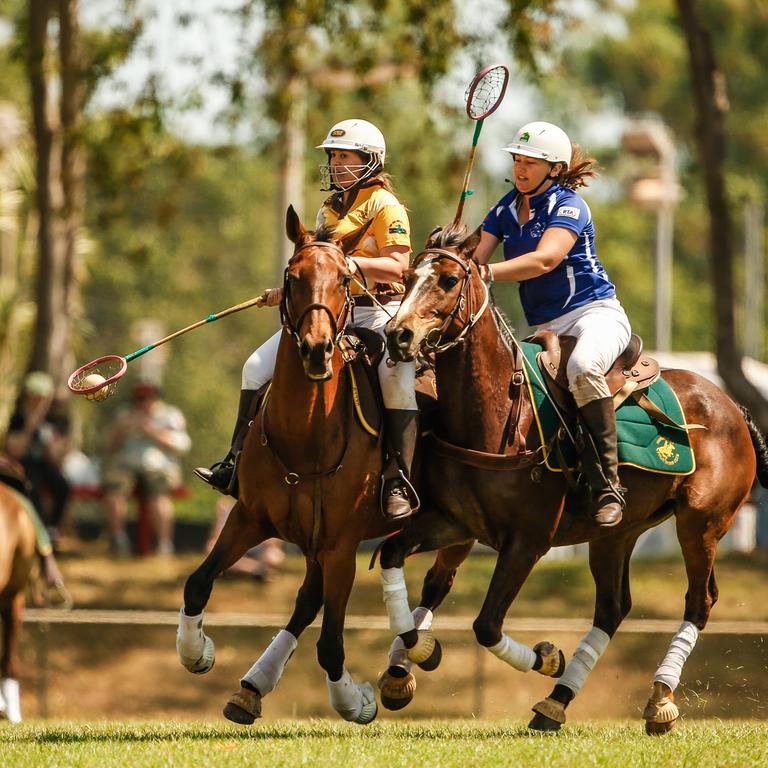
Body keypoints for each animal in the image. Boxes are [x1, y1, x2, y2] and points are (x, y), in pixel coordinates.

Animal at [177, 207, 424, 724]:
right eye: (291, 278)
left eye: (347, 279)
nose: (316, 350)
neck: (305, 438)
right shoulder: (250, 518)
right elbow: (198, 583)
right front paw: (196, 653)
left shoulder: (342, 546)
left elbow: (331, 644)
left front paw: (355, 701)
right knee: (306, 600)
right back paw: (250, 687)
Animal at [378, 225, 768, 736]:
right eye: (406, 277)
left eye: (447, 280)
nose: (397, 334)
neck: (495, 414)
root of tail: (732, 406)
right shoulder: (453, 523)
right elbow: (391, 557)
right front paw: (417, 655)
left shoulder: (528, 541)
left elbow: (486, 625)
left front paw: (547, 657)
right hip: (617, 532)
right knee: (613, 607)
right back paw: (556, 702)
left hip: (702, 521)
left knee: (699, 601)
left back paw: (660, 697)